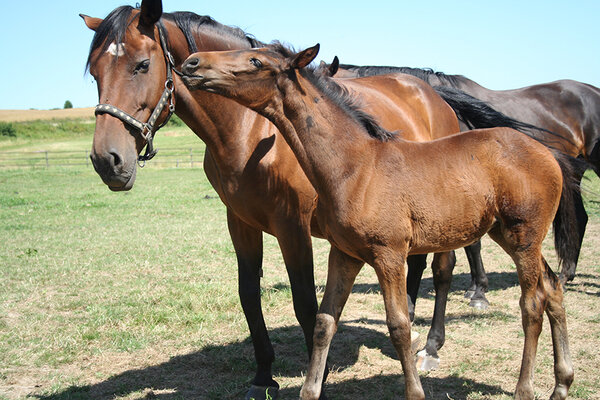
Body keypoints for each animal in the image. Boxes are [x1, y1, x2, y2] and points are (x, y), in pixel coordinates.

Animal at [183, 45, 576, 398]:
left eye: (255, 61)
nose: (192, 63)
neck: (355, 166)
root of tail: (547, 152)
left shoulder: (389, 254)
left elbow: (399, 324)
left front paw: (415, 392)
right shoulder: (344, 254)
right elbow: (324, 322)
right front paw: (311, 390)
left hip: (523, 236)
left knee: (531, 303)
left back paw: (524, 388)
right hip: (506, 234)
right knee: (553, 287)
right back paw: (561, 384)